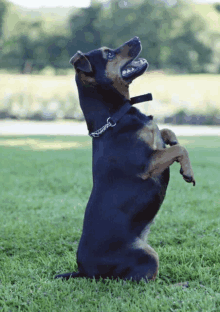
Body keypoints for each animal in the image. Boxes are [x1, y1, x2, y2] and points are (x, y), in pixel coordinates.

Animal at [55, 36, 196, 282]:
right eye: (109, 54)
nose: (136, 38)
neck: (115, 117)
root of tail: (83, 271)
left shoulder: (156, 144)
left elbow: (167, 132)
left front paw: (175, 143)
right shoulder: (148, 163)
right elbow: (180, 149)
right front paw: (187, 171)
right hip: (148, 256)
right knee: (140, 280)